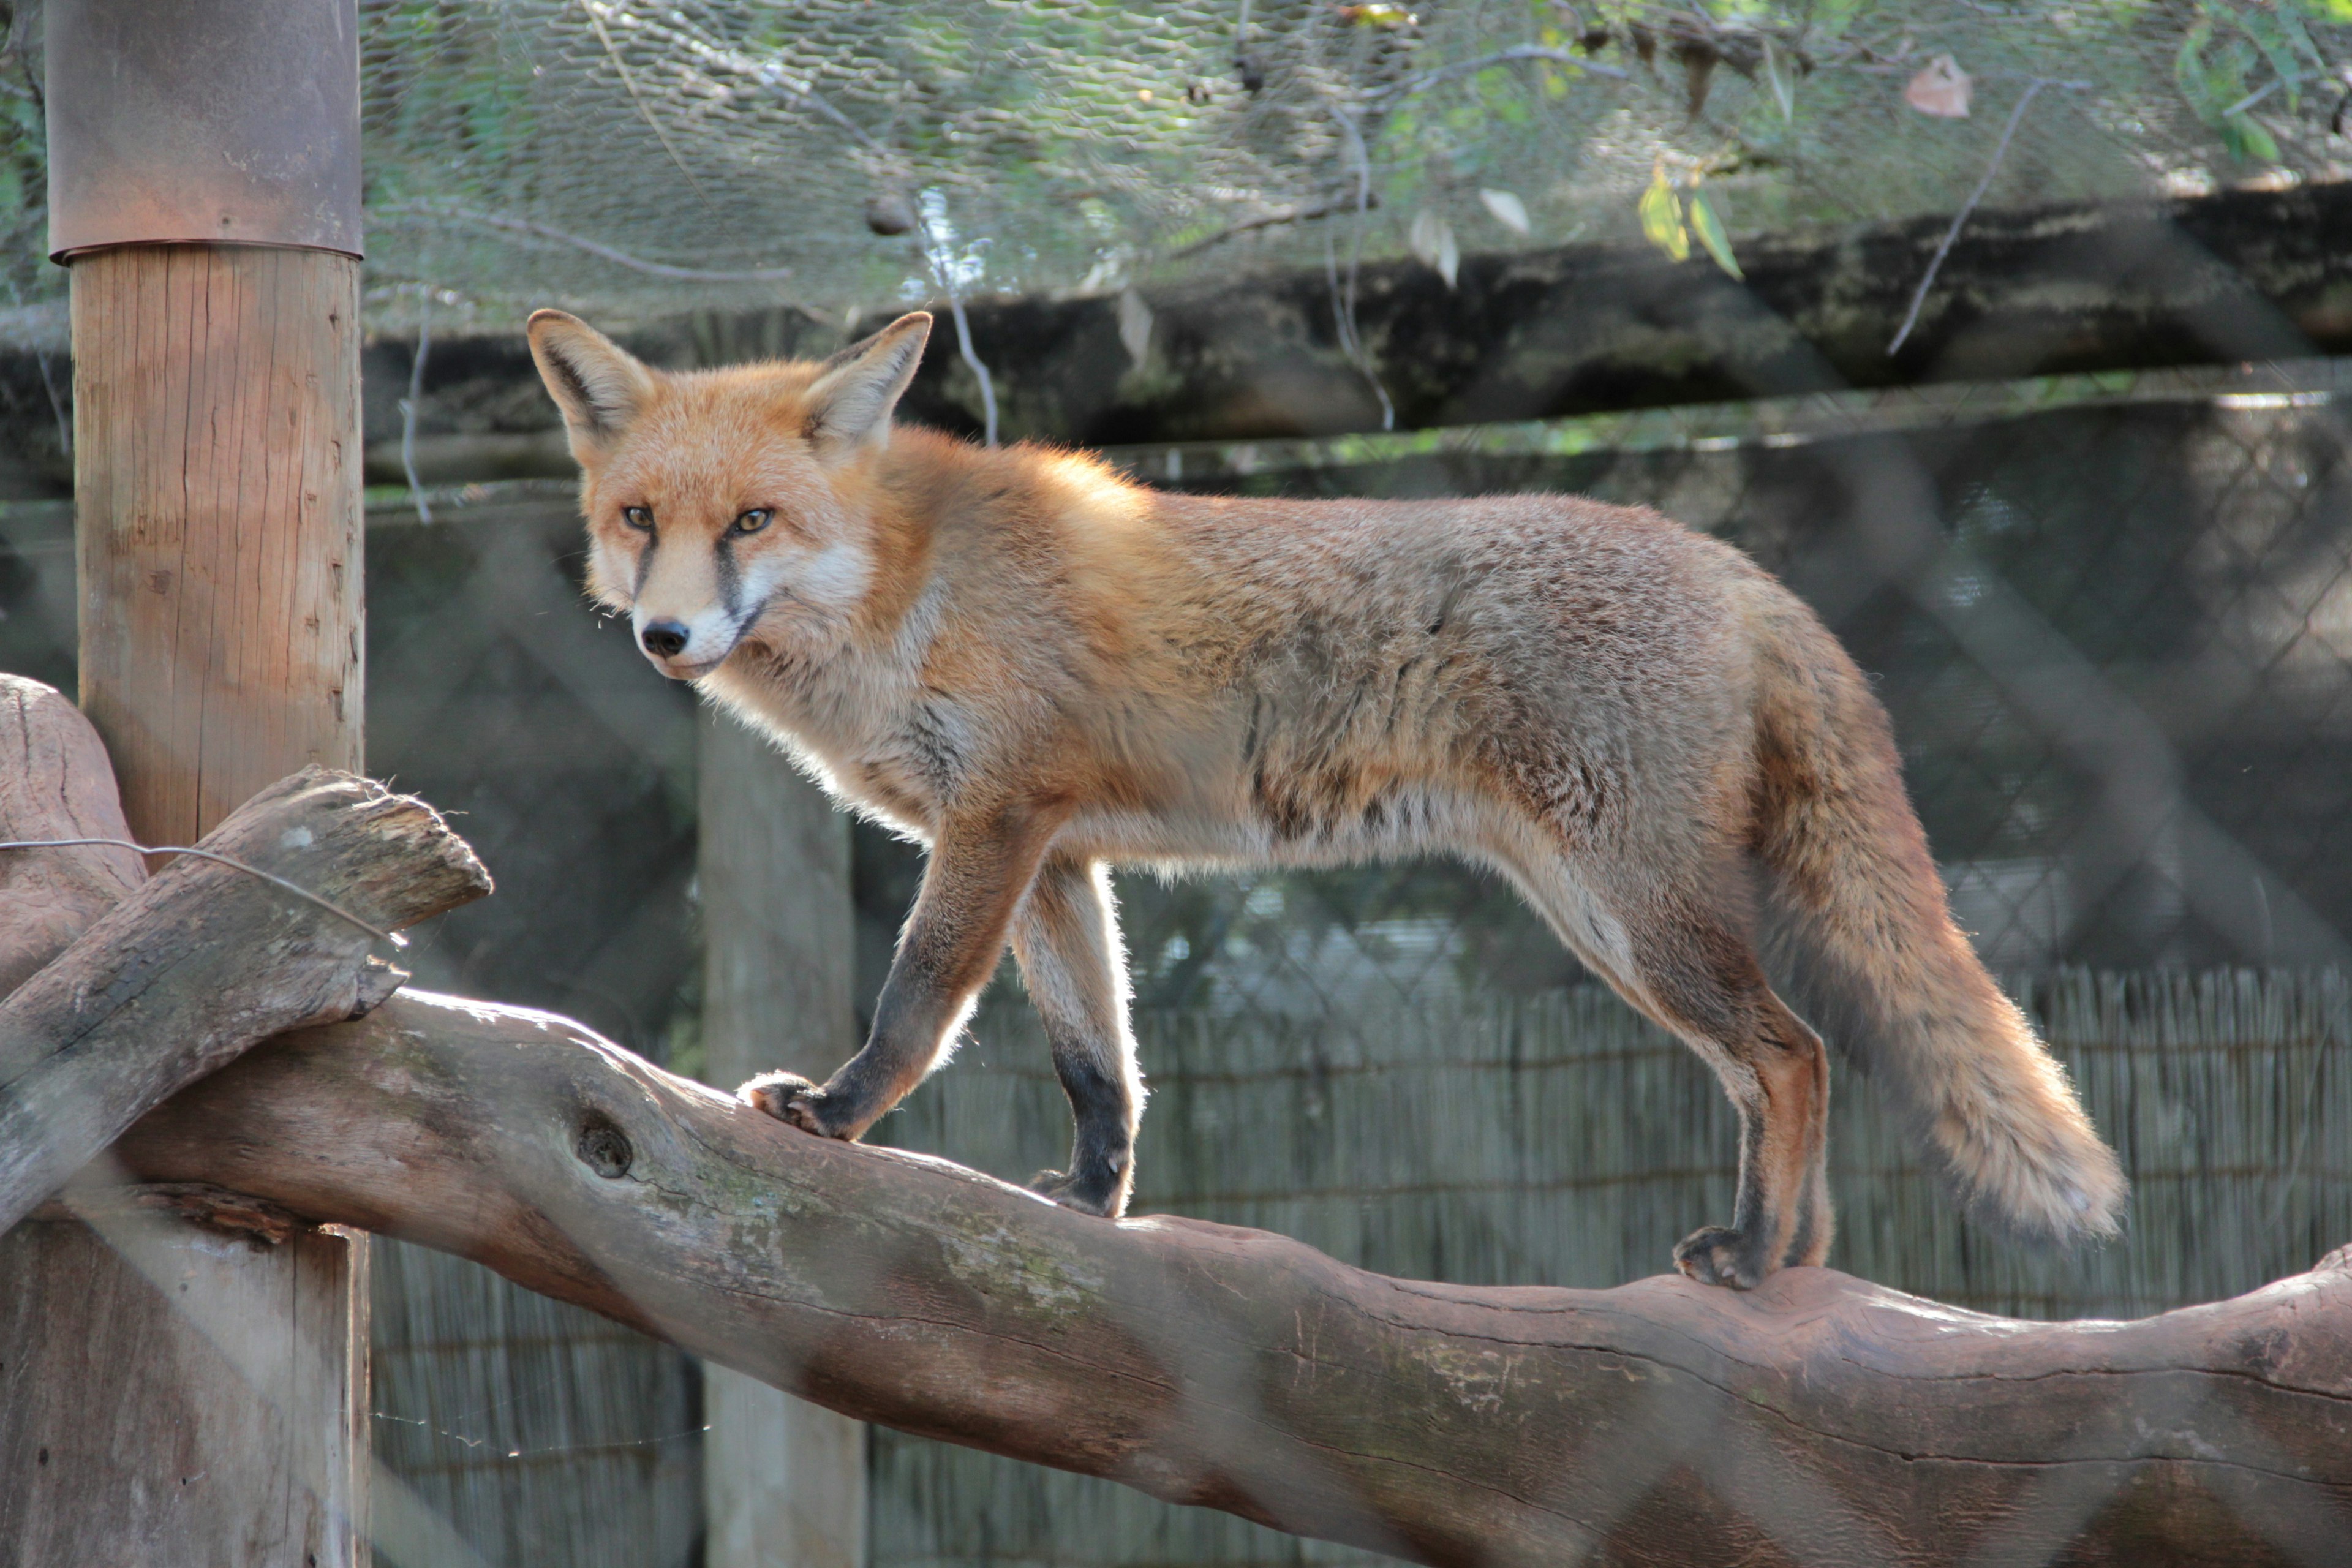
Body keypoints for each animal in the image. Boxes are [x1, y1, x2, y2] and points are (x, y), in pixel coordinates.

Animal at [529, 303, 2135, 1288]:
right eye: (639, 520)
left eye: (752, 521)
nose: (665, 635)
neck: (903, 592)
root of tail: (1732, 565)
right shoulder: (1053, 848)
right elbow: (1100, 1061)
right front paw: (1091, 1208)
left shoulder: (989, 825)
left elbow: (917, 998)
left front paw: (839, 1111)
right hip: (1602, 917)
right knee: (1773, 1066)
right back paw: (1787, 1259)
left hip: (1634, 914)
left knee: (1794, 1052)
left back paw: (1754, 1261)